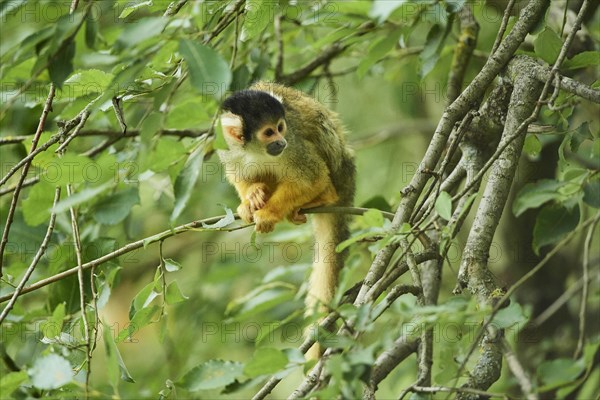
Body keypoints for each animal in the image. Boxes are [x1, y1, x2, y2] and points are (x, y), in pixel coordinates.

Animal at [217, 83, 354, 358]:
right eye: (268, 132)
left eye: (280, 127)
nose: (280, 141)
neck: (254, 151)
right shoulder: (228, 149)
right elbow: (239, 176)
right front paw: (251, 197)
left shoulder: (294, 145)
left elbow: (311, 177)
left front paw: (268, 213)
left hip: (341, 171)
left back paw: (323, 197)